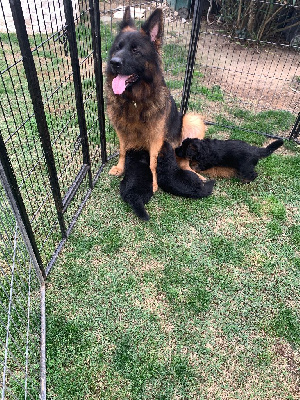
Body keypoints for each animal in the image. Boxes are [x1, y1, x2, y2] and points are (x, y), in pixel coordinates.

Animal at [105, 7, 206, 191]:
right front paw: (120, 167)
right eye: (118, 48)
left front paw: (152, 182)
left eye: (135, 50)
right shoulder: (121, 131)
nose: (113, 62)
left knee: (186, 163)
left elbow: (152, 162)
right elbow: (122, 150)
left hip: (191, 120)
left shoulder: (155, 137)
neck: (135, 99)